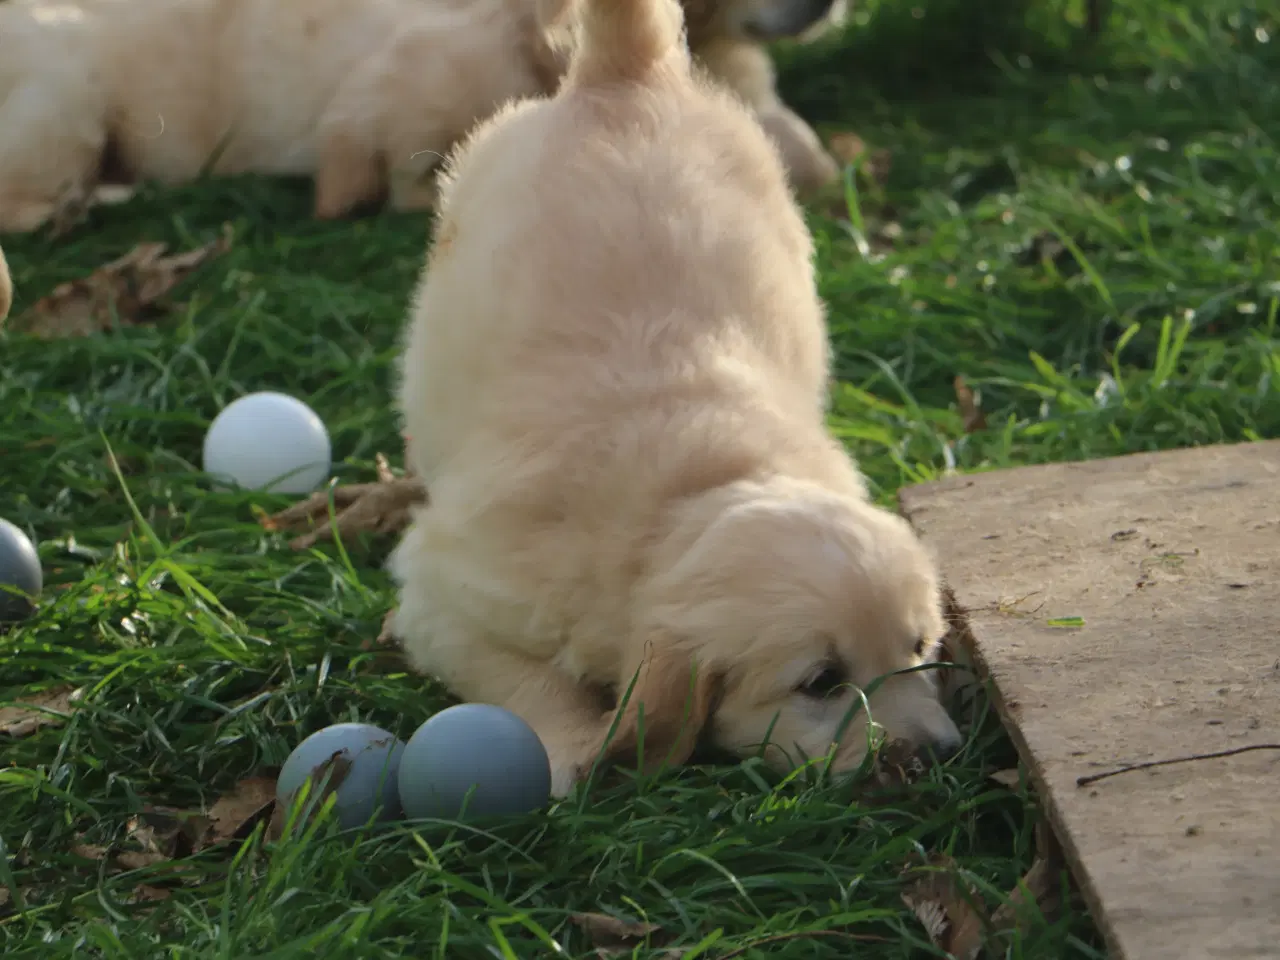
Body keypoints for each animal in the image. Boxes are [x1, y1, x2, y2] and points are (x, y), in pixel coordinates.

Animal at [389, 0, 962, 798]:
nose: (940, 756)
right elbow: (527, 679)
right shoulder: (444, 596)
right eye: (820, 682)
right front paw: (573, 745)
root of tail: (622, 76)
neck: (692, 493)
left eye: (919, 647)